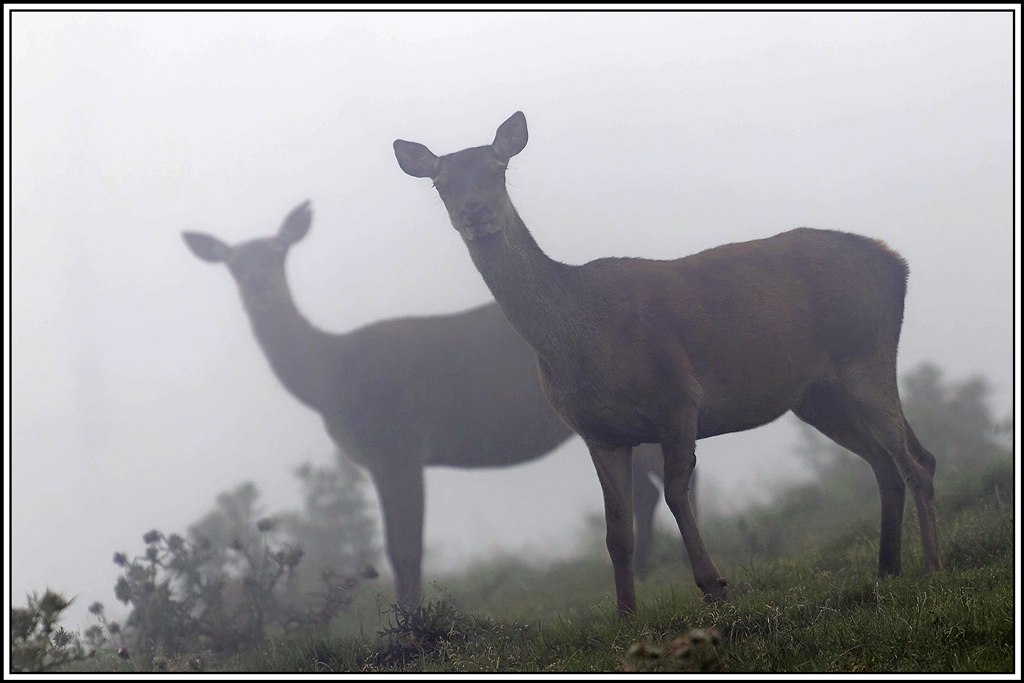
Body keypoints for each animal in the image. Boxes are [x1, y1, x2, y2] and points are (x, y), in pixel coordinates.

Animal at [181, 200, 670, 609]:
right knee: (648, 489)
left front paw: (410, 625)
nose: (258, 288)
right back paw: (646, 573)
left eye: (278, 253)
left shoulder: (399, 443)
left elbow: (406, 548)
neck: (332, 380)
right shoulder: (382, 458)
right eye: (233, 264)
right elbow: (394, 546)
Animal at [394, 111, 942, 617]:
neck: (580, 340)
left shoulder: (677, 394)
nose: (475, 211)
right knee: (885, 463)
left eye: (499, 167)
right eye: (441, 182)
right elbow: (617, 530)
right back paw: (886, 570)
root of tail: (896, 264)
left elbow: (679, 494)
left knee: (917, 459)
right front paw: (625, 615)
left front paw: (714, 585)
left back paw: (932, 567)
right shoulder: (598, 432)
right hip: (816, 396)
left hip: (865, 351)